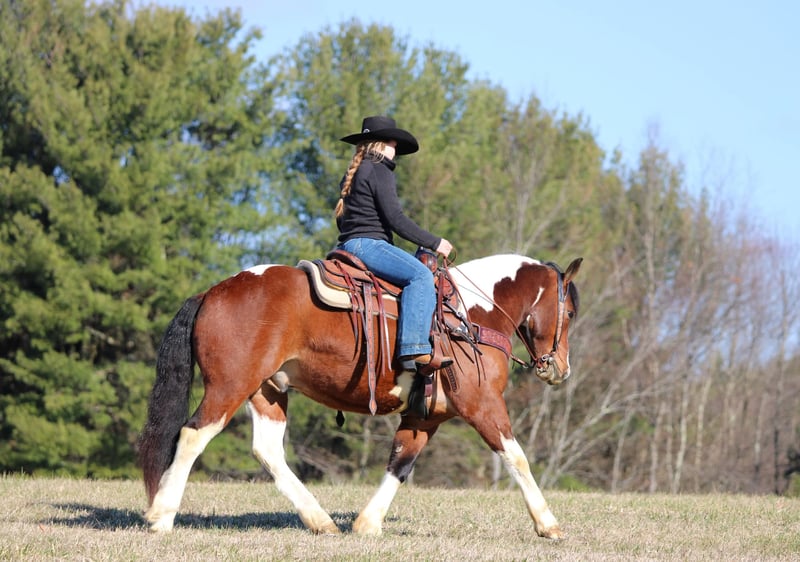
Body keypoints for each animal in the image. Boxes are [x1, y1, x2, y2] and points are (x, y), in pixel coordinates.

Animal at [138, 252, 582, 539]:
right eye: (570, 312)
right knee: (193, 435)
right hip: (229, 387)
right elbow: (516, 457)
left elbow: (400, 463)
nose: (559, 368)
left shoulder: (425, 416)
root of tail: (214, 292)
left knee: (268, 451)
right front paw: (548, 524)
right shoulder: (483, 405)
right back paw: (161, 515)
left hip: (267, 391)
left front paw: (367, 524)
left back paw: (319, 520)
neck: (471, 315)